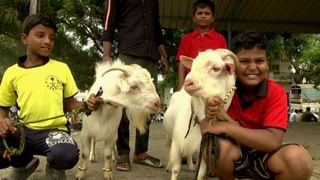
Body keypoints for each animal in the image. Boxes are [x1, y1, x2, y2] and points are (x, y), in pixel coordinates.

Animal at [164, 48, 236, 180]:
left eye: (216, 68)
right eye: (193, 65)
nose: (188, 83)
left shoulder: (203, 146)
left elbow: (201, 174)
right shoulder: (178, 141)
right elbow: (176, 169)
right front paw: (172, 170)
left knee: (189, 154)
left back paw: (191, 167)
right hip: (171, 135)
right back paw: (168, 166)